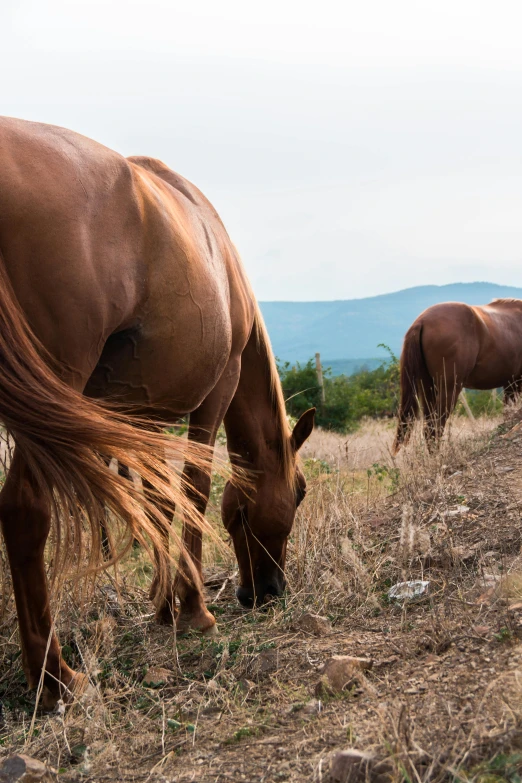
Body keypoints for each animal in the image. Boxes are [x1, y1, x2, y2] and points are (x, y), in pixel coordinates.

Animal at [0, 118, 310, 712]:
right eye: (300, 491)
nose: (267, 593)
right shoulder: (215, 391)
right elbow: (195, 493)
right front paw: (193, 611)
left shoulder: (140, 417)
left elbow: (159, 503)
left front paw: (163, 604)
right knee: (24, 511)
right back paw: (54, 679)